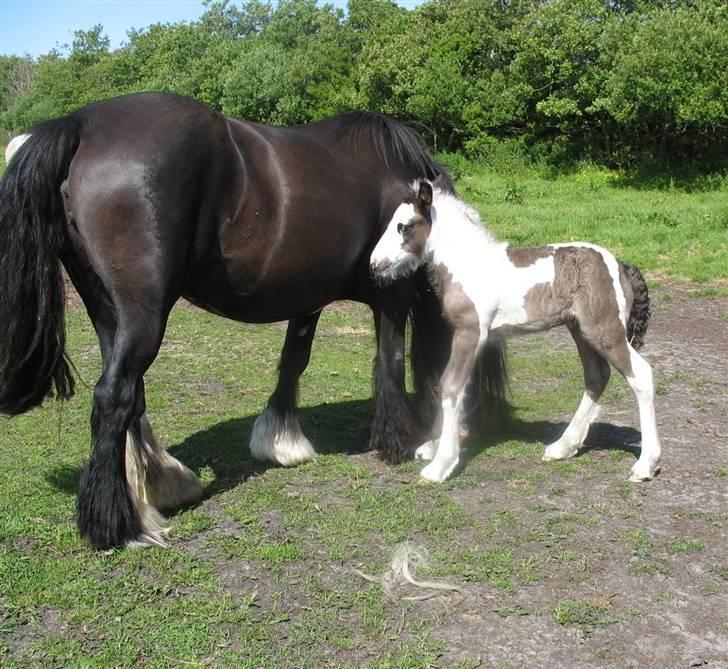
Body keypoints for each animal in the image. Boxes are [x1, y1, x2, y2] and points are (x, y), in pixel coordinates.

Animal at [0, 91, 506, 544]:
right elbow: (390, 363)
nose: (476, 423)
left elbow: (294, 361)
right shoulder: (391, 295)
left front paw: (281, 440)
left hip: (107, 312)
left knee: (131, 395)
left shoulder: (307, 298)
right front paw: (400, 441)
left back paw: (161, 484)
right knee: (114, 396)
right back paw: (116, 526)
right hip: (143, 314)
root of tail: (82, 123)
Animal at [372, 180, 664, 482]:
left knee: (641, 375)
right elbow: (454, 384)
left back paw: (645, 464)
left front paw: (440, 465)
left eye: (404, 226)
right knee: (597, 375)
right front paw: (434, 446)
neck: (468, 266)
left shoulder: (470, 331)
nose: (374, 264)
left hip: (605, 330)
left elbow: (450, 385)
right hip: (580, 329)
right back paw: (563, 447)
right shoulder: (468, 337)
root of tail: (621, 266)